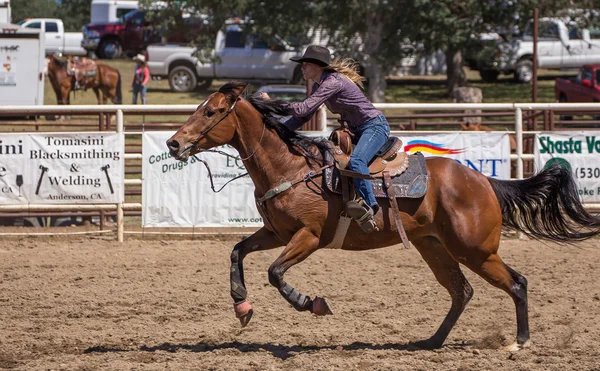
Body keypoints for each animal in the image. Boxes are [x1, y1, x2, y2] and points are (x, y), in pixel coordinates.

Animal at [165, 80, 600, 352]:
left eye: (212, 112)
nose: (173, 143)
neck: (290, 167)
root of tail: (485, 182)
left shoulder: (309, 237)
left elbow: (275, 273)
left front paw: (312, 303)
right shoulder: (275, 233)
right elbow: (237, 251)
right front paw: (242, 307)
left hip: (475, 250)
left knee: (516, 283)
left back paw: (519, 342)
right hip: (435, 248)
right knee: (461, 291)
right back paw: (432, 342)